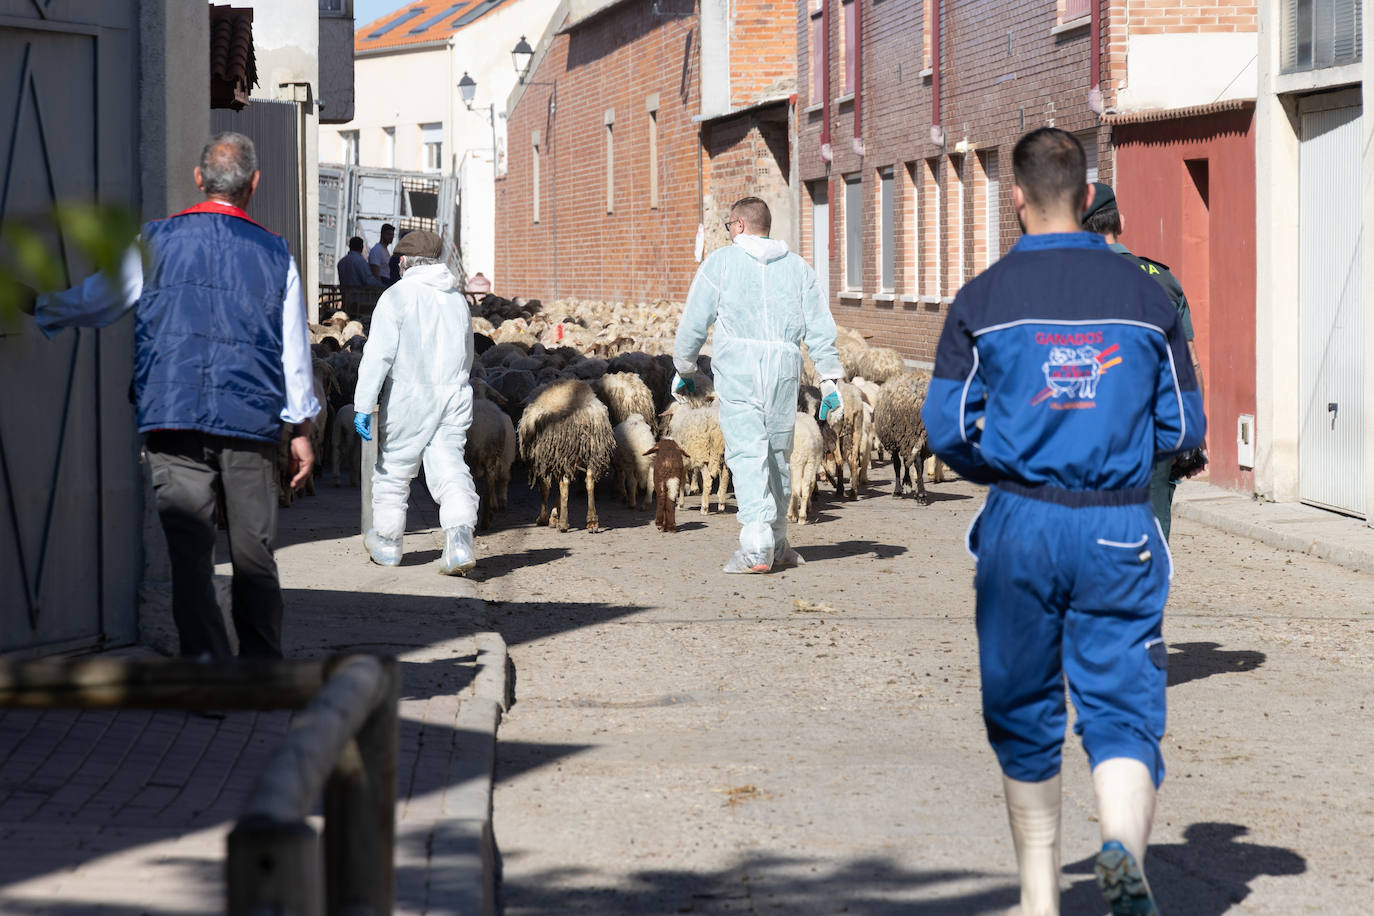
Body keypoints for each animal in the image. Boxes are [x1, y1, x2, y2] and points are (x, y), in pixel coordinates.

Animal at [516, 379, 615, 532]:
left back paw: (563, 524)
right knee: (589, 480)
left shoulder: (543, 458)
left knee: (563, 484)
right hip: (593, 449)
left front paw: (545, 518)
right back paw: (592, 521)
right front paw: (554, 516)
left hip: (562, 451)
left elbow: (546, 488)